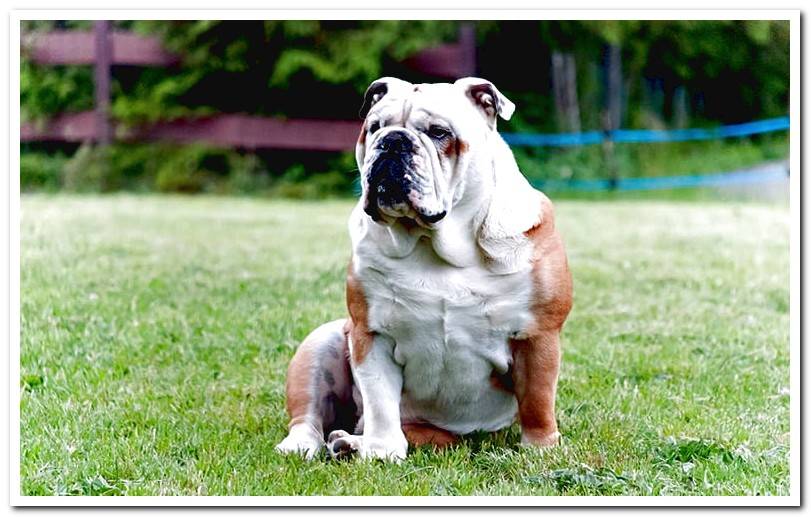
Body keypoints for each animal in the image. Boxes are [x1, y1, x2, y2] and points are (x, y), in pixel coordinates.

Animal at [276, 75, 576, 460]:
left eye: (438, 133)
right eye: (374, 127)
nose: (392, 141)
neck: (438, 244)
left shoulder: (538, 335)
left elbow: (538, 399)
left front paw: (540, 448)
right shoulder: (371, 334)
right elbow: (380, 400)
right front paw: (382, 451)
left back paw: (349, 442)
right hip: (322, 344)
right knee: (311, 417)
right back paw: (312, 443)